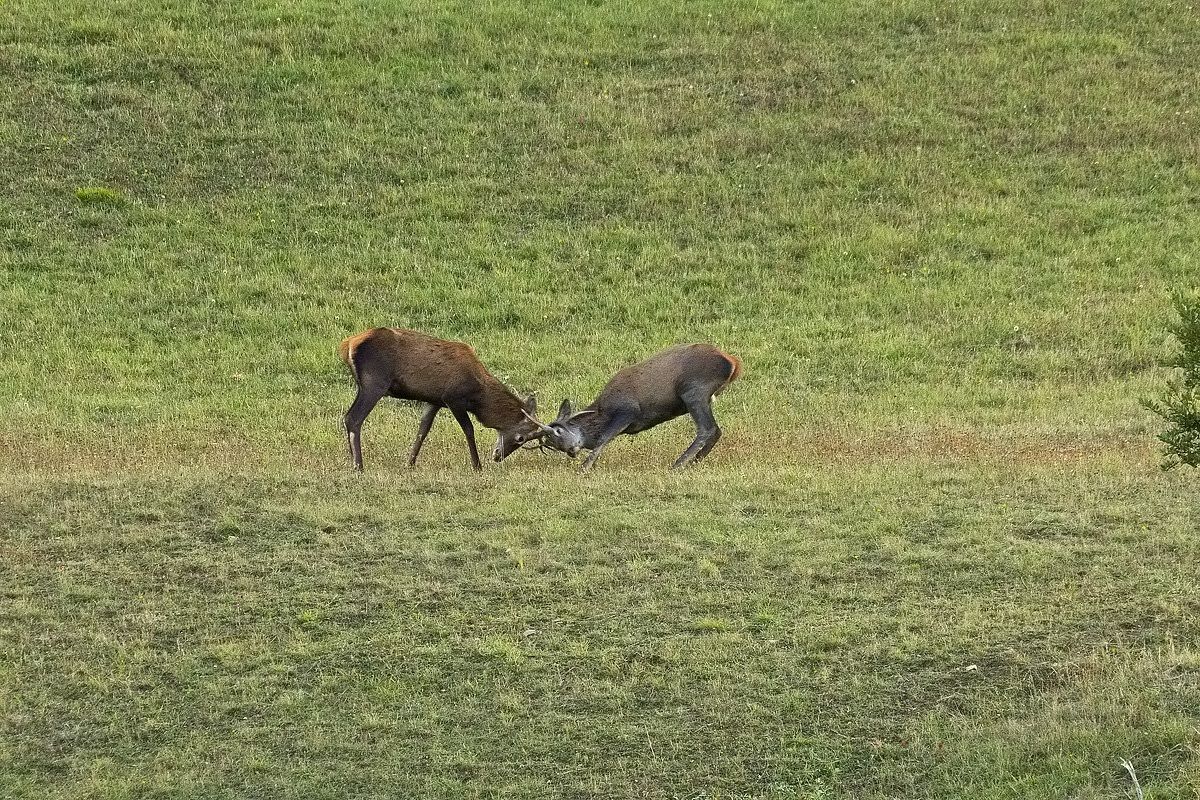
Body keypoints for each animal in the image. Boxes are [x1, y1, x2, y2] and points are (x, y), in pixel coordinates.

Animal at [338, 327, 549, 471]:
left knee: (348, 418)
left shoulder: (434, 400)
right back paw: (358, 465)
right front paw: (477, 465)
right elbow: (469, 429)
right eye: (520, 438)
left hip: (366, 385)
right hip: (375, 383)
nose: (498, 456)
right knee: (353, 418)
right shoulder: (452, 398)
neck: (478, 397)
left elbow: (423, 430)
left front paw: (410, 462)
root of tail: (347, 344)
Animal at [526, 343, 742, 471]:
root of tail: (733, 363)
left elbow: (604, 438)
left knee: (707, 428)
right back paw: (695, 461)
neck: (603, 411)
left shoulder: (627, 411)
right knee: (716, 429)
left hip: (693, 391)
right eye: (552, 444)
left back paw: (678, 464)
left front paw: (585, 467)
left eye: (558, 432)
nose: (571, 451)